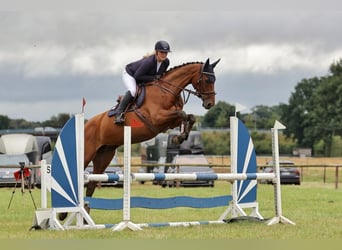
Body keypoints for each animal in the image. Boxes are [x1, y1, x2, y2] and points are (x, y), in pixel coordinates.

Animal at [84, 57, 220, 201]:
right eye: (207, 80)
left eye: (214, 80)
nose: (210, 104)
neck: (167, 91)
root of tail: (87, 124)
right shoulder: (158, 118)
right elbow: (182, 114)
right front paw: (179, 138)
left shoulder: (170, 121)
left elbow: (190, 117)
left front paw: (180, 137)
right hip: (88, 153)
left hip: (104, 155)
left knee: (92, 184)